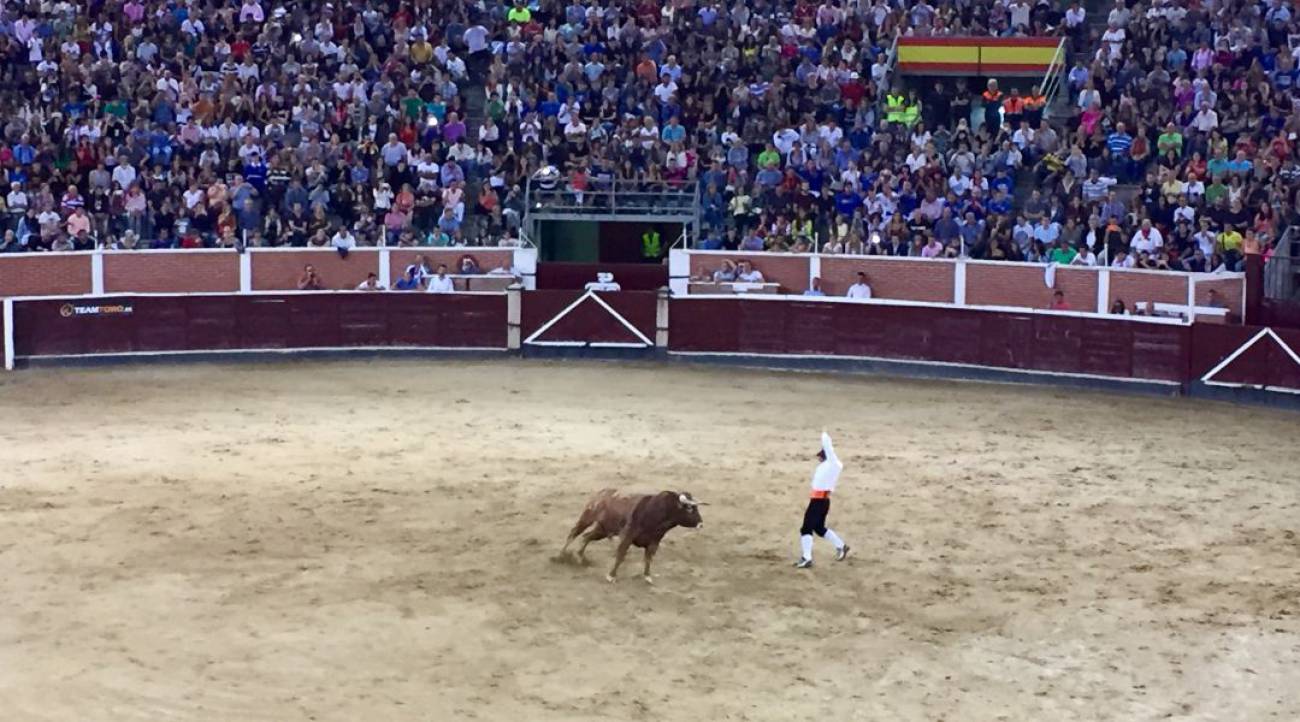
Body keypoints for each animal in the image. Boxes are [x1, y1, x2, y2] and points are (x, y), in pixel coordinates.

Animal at [556, 489, 707, 585]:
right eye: (689, 508)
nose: (701, 524)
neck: (657, 512)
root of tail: (601, 493)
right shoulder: (627, 537)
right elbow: (621, 556)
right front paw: (611, 576)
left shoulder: (654, 542)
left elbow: (648, 559)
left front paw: (647, 577)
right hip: (587, 518)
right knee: (573, 533)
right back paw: (560, 555)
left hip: (602, 530)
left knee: (586, 537)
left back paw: (580, 558)